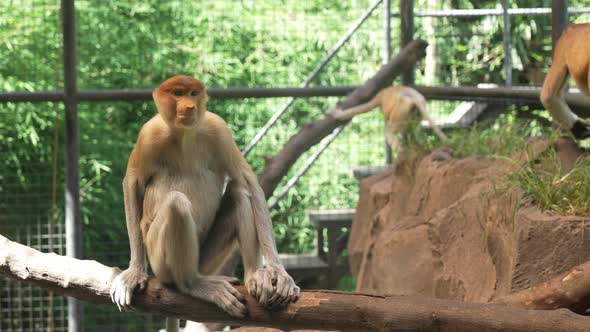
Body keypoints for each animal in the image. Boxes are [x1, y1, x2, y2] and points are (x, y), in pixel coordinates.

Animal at [110, 74, 300, 330]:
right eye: (178, 94)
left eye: (193, 94)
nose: (189, 107)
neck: (184, 136)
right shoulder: (149, 134)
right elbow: (132, 184)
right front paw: (134, 272)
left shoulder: (218, 129)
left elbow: (249, 183)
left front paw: (280, 275)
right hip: (160, 261)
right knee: (176, 203)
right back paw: (192, 285)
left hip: (206, 259)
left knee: (239, 193)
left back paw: (254, 277)